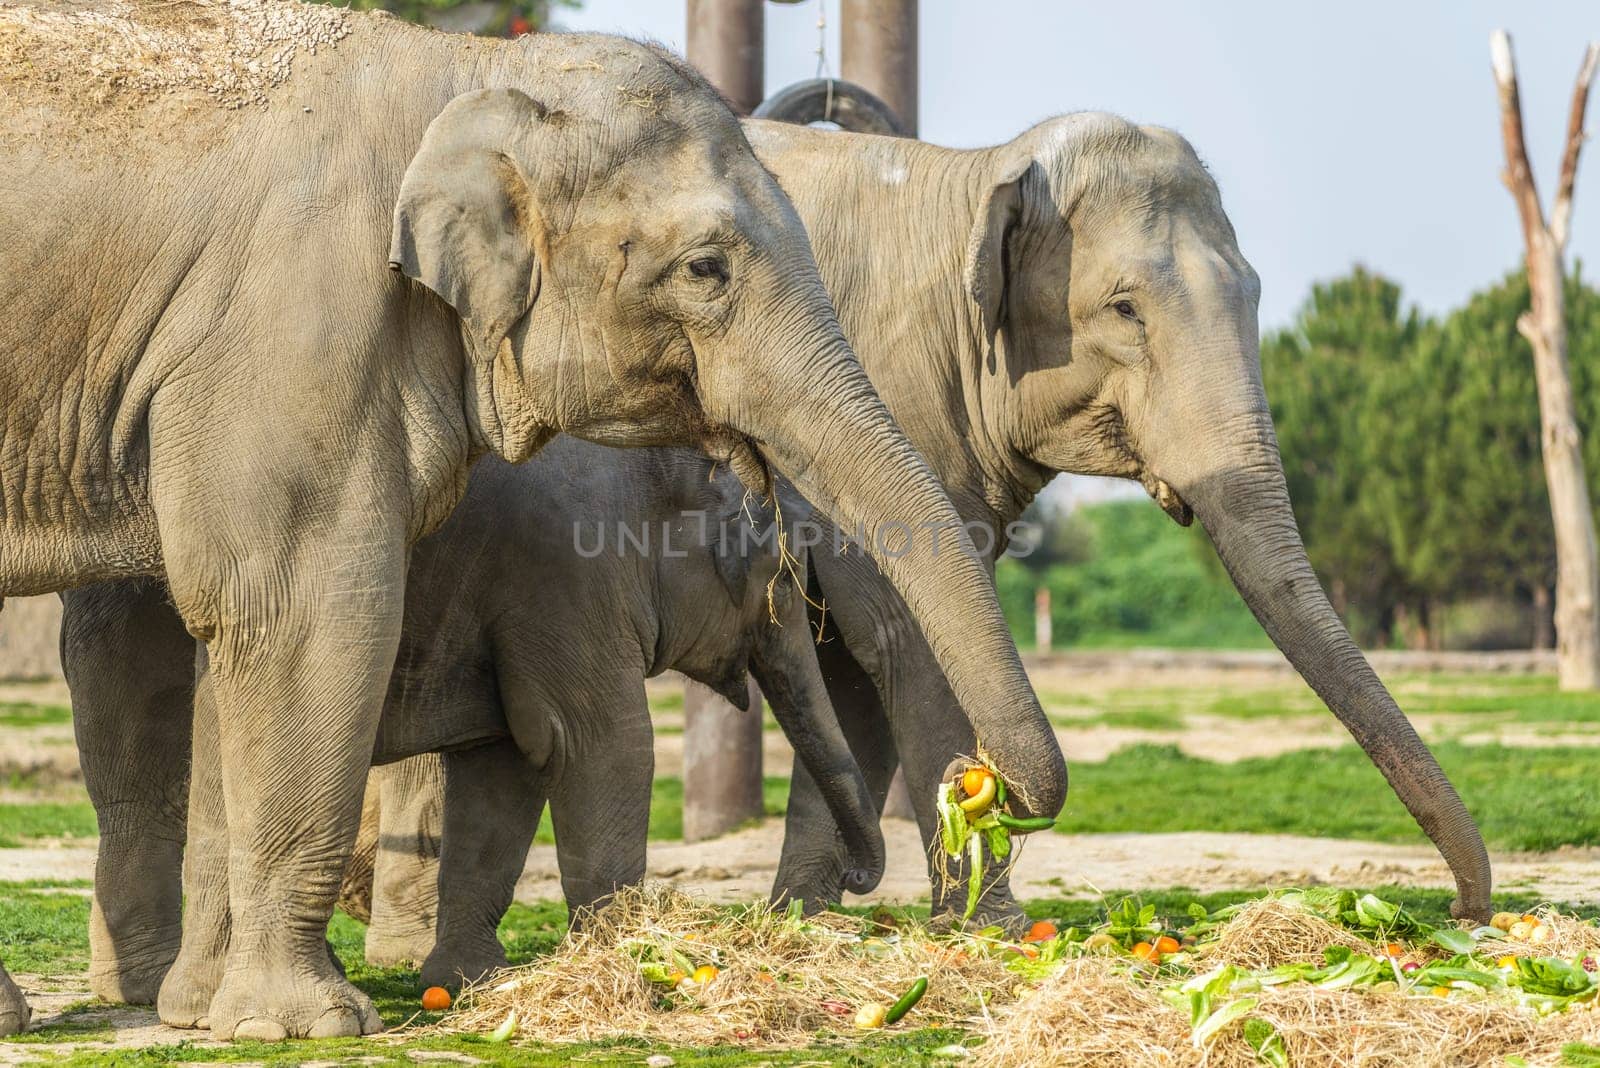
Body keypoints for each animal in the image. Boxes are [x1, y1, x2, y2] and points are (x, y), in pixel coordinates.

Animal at [6, 0, 1068, 1036]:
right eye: (707, 269)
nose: (985, 787)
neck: (464, 75)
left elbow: (493, 757)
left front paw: (461, 987)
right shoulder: (293, 334)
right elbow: (317, 615)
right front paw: (305, 1027)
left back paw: (161, 1006)